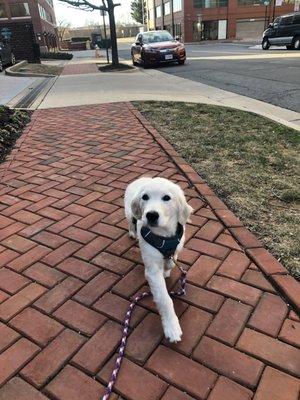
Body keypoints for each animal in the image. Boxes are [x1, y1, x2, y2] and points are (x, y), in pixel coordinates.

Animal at [123, 177, 192, 342]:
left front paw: (166, 270)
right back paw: (132, 232)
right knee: (131, 222)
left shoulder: (176, 249)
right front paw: (172, 327)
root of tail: (142, 177)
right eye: (145, 197)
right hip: (129, 212)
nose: (151, 215)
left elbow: (170, 262)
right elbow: (164, 299)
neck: (164, 237)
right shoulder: (152, 271)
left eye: (166, 197)